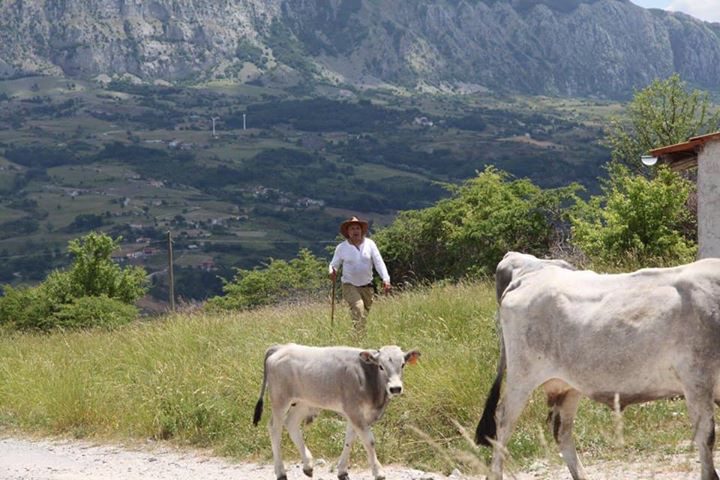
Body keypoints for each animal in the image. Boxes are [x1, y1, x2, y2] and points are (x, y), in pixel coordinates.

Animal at [255, 344, 420, 478]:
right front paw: (378, 472)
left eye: (403, 365)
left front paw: (342, 471)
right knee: (274, 428)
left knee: (291, 423)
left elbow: (349, 439)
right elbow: (369, 441)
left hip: (304, 402)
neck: (367, 377)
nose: (395, 388)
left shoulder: (356, 415)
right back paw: (281, 472)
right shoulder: (354, 411)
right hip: (280, 401)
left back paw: (308, 465)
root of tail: (281, 347)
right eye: (381, 366)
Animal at [476, 256, 720, 480]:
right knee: (503, 421)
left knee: (561, 430)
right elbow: (707, 436)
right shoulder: (697, 381)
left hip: (568, 386)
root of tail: (527, 269)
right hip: (522, 377)